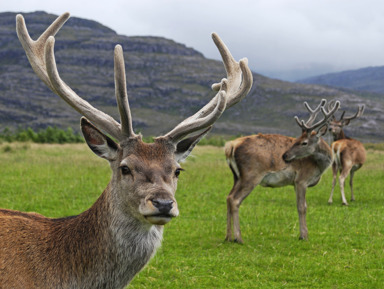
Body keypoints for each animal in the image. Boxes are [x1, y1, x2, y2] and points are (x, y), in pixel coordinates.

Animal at [225, 98, 340, 241]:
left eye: (304, 142)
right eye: (297, 139)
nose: (285, 156)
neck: (318, 166)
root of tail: (230, 146)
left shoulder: (295, 183)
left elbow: (302, 205)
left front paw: (303, 234)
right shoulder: (302, 179)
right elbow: (302, 207)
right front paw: (304, 236)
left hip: (236, 176)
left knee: (228, 197)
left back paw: (228, 237)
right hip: (251, 175)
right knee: (235, 200)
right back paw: (238, 238)